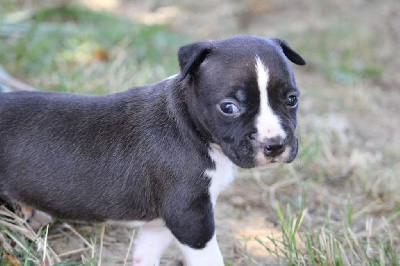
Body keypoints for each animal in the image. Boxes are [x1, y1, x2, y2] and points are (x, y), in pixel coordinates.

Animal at [0, 34, 304, 264]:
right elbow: (209, 258)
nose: (275, 145)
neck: (189, 124)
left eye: (292, 99)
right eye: (229, 107)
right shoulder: (191, 219)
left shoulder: (159, 225)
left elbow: (145, 255)